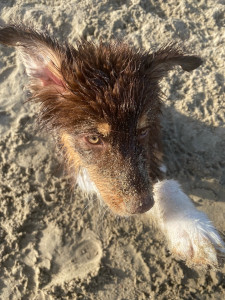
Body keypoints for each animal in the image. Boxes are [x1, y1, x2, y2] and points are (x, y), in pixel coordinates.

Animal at [0, 24, 224, 268]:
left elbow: (161, 181)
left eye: (142, 131)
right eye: (93, 139)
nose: (142, 206)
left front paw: (191, 227)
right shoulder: (80, 167)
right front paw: (188, 226)